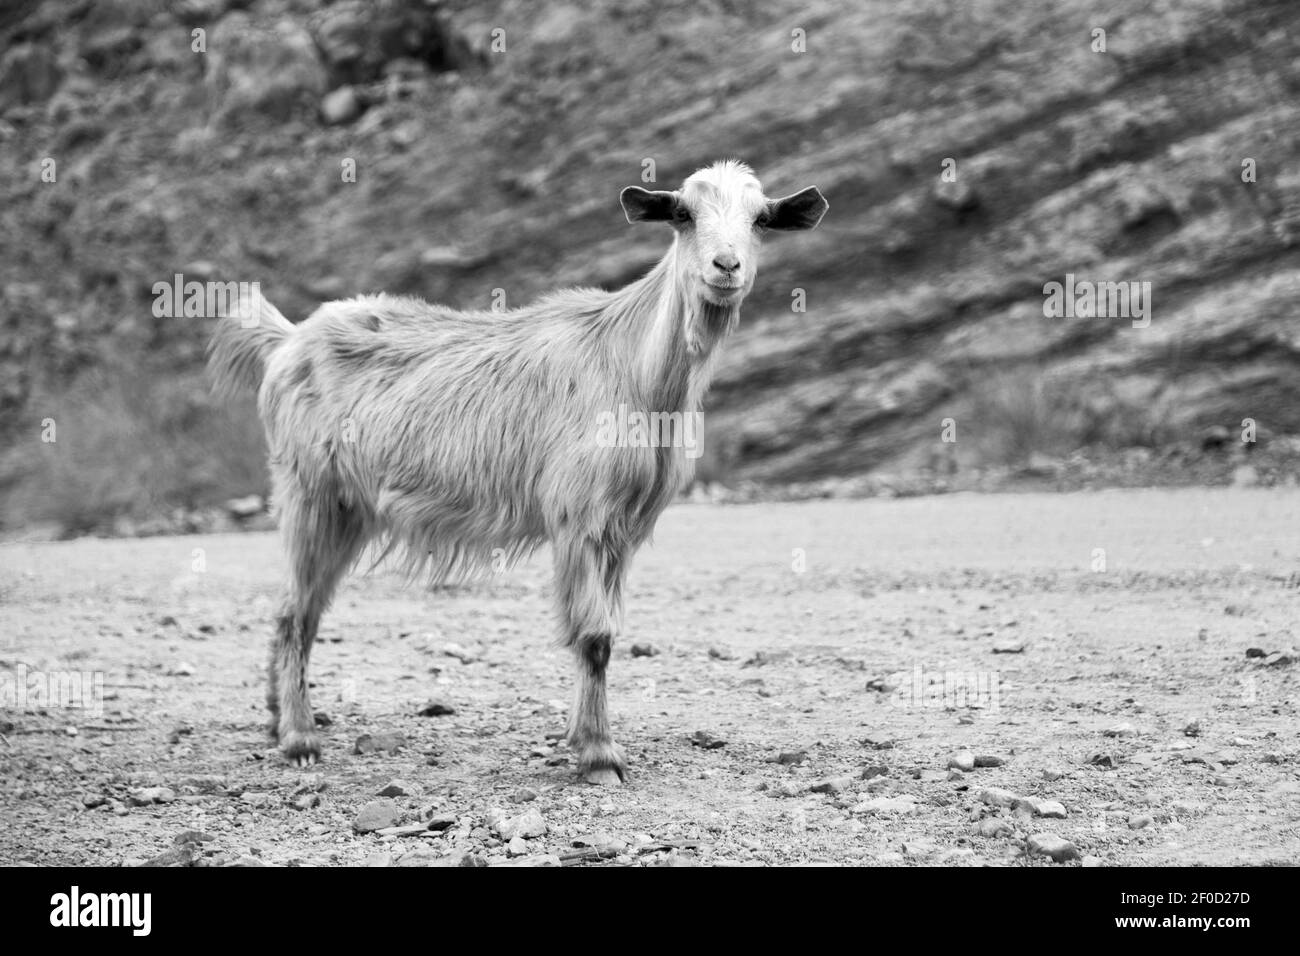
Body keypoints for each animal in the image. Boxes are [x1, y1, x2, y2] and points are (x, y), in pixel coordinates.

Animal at [207, 160, 827, 784]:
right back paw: (299, 738)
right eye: (683, 214)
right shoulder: (580, 514)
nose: (726, 266)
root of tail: (288, 340)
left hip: (345, 507)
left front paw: (585, 739)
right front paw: (599, 754)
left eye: (761, 219)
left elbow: (606, 631)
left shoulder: (624, 527)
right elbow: (595, 636)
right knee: (296, 612)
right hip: (311, 491)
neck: (634, 368)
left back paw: (277, 718)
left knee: (296, 608)